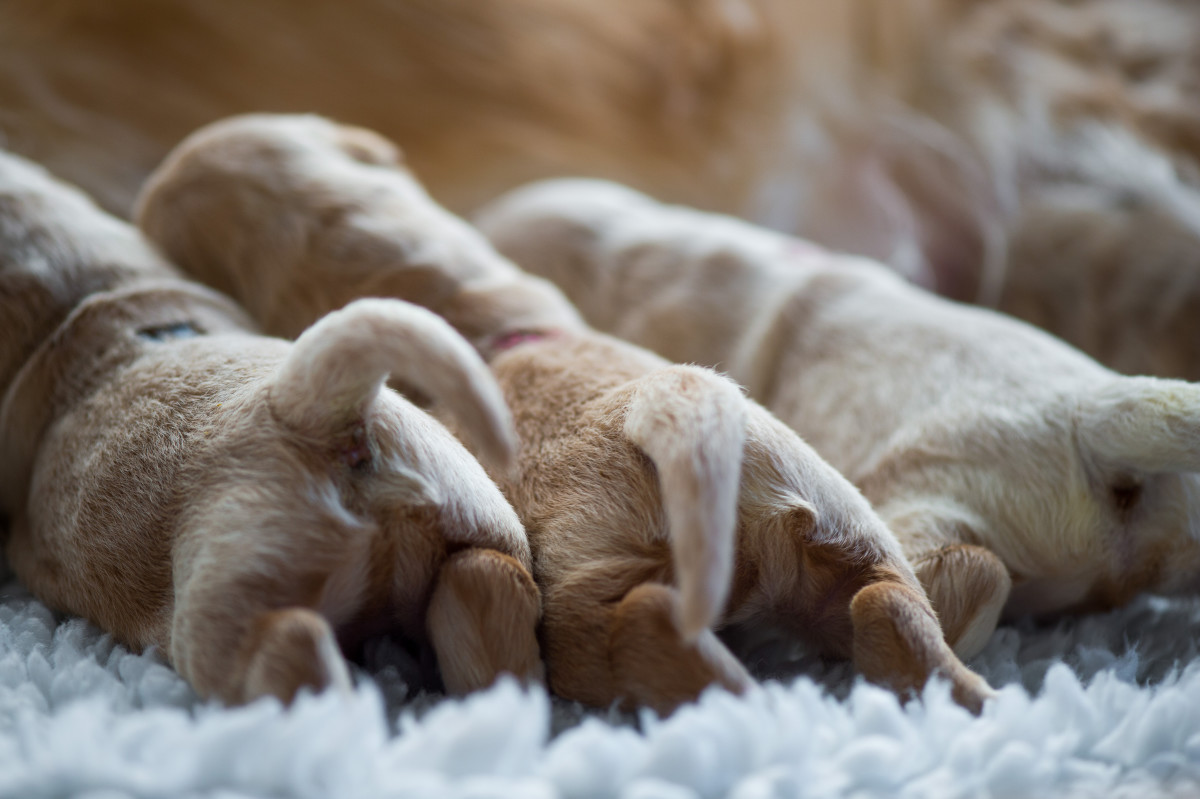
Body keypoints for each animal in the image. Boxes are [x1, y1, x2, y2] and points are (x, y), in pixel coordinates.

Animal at [131, 110, 993, 710]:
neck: (475, 315)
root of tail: (681, 408)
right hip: (840, 523)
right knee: (884, 601)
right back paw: (965, 696)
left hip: (587, 599)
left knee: (643, 625)